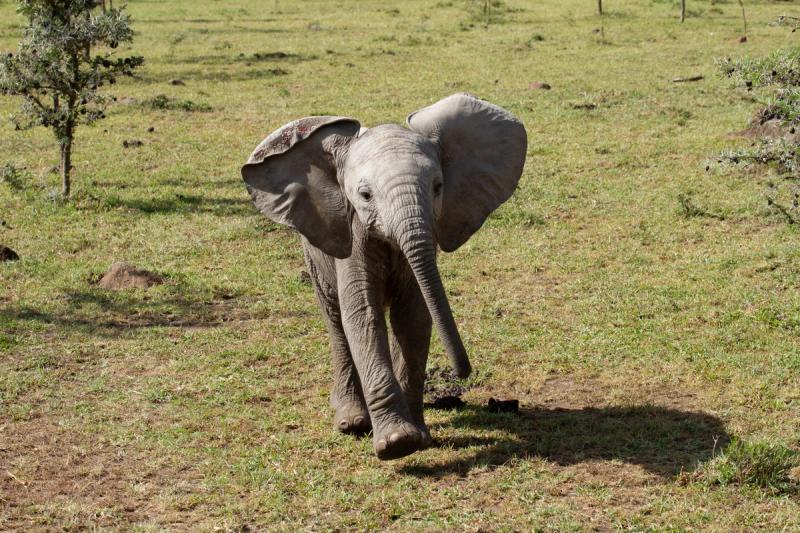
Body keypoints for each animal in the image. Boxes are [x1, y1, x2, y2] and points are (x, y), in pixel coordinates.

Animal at [241, 93, 527, 460]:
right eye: (365, 196)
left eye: (438, 188)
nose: (460, 372)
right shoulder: (352, 234)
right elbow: (363, 315)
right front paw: (396, 444)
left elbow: (414, 315)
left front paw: (418, 435)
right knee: (335, 319)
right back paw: (351, 421)